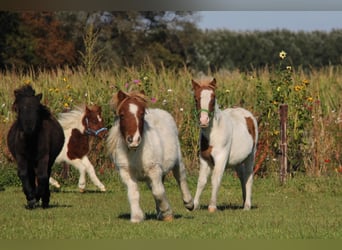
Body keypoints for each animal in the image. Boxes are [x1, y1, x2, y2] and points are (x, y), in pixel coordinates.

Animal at [105, 90, 194, 223]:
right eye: (122, 115)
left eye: (141, 114)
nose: (134, 140)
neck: (135, 153)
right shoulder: (126, 173)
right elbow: (134, 194)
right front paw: (137, 217)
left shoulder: (154, 169)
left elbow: (158, 192)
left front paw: (167, 213)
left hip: (177, 160)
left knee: (180, 178)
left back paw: (189, 203)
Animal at [191, 77, 258, 211]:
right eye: (196, 98)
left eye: (213, 98)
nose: (204, 121)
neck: (214, 134)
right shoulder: (204, 159)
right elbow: (201, 181)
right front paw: (194, 205)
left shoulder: (221, 158)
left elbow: (215, 179)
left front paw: (212, 206)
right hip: (238, 161)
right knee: (242, 177)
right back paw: (244, 201)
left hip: (251, 156)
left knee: (248, 176)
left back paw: (247, 205)